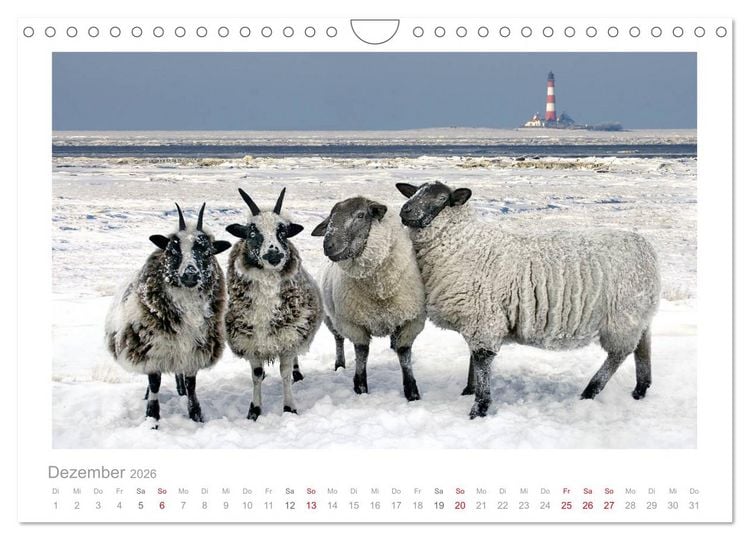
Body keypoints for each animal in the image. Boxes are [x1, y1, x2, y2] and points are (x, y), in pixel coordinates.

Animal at [105, 203, 231, 423]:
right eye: (172, 250)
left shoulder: (194, 350)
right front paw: (152, 417)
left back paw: (180, 390)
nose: (190, 274)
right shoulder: (153, 348)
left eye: (207, 252)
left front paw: (195, 415)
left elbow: (191, 384)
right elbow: (155, 382)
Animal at [225, 187, 323, 420]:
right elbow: (256, 375)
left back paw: (298, 373)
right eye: (251, 233)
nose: (274, 254)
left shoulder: (288, 336)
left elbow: (285, 373)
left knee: (294, 362)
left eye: (283, 233)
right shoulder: (251, 342)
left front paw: (289, 408)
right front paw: (254, 410)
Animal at [311, 197, 426, 401]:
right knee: (338, 339)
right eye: (330, 218)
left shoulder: (410, 320)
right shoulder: (353, 323)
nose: (328, 245)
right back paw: (339, 364)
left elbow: (404, 354)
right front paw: (361, 387)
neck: (379, 290)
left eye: (360, 215)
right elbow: (362, 353)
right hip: (331, 319)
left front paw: (412, 392)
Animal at [396, 181, 661, 419]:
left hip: (622, 318)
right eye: (414, 192)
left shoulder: (483, 316)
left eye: (442, 199)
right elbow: (473, 359)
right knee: (642, 349)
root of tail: (647, 249)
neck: (464, 243)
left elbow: (481, 360)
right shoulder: (478, 318)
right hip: (639, 316)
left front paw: (479, 408)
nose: (404, 211)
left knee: (618, 355)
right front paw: (469, 390)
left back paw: (590, 391)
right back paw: (640, 390)